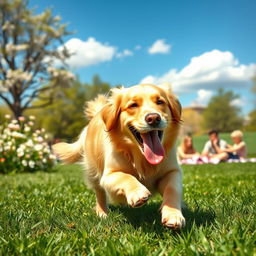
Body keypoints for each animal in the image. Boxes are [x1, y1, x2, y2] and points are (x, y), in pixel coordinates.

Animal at [53, 83, 185, 229]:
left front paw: (173, 215)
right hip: (94, 173)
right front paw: (137, 192)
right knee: (99, 193)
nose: (153, 118)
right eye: (133, 105)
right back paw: (102, 213)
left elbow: (172, 189)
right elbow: (125, 176)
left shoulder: (172, 171)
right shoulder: (108, 176)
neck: (141, 158)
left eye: (160, 102)